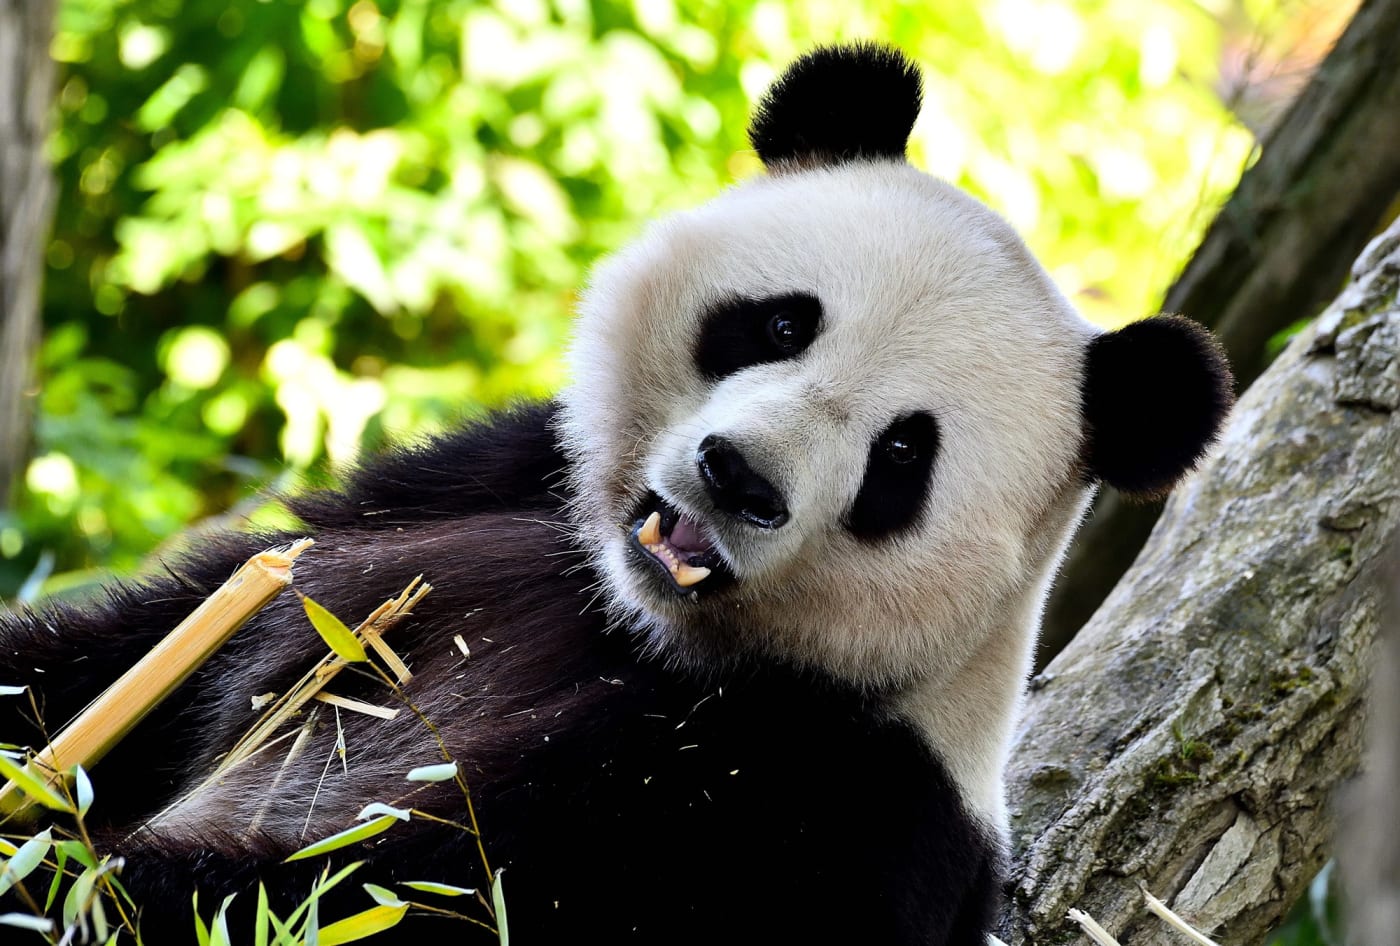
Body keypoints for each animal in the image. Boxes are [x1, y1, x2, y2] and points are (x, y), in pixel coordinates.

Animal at [1, 44, 1232, 945]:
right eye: (781, 322)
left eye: (900, 456)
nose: (739, 478)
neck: (643, 621)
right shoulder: (474, 490)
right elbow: (135, 646)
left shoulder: (815, 807)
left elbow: (399, 902)